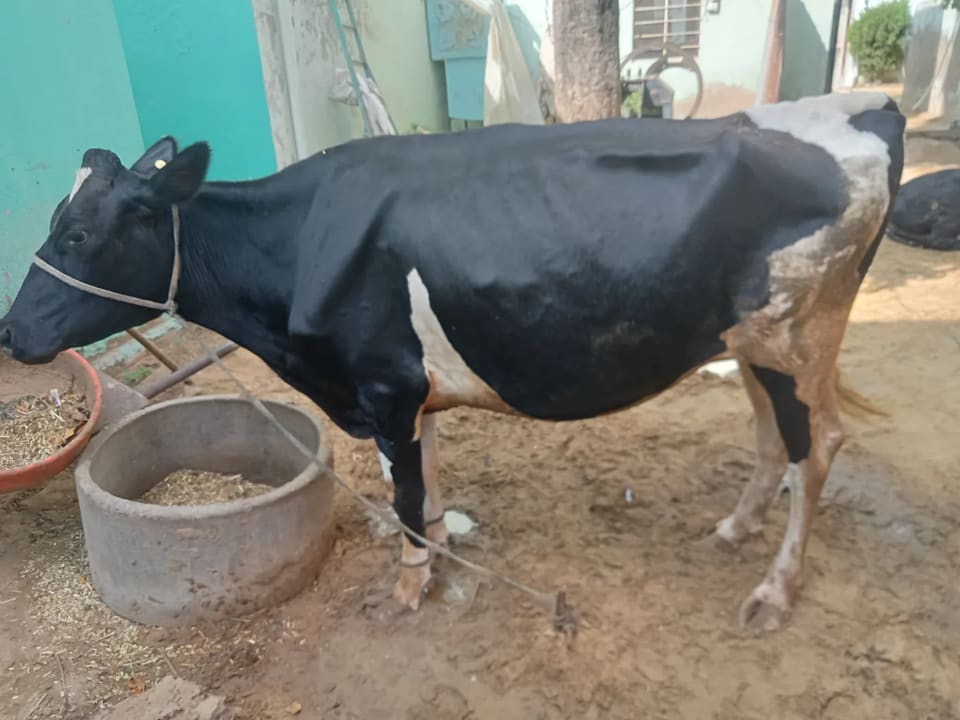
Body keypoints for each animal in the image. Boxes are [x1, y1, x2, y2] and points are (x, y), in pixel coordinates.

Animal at [0, 92, 905, 632]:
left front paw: (409, 585)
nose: (10, 333)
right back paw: (732, 531)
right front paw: (436, 552)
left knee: (817, 446)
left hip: (799, 336)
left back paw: (775, 589)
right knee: (771, 436)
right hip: (752, 341)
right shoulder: (408, 394)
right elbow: (426, 483)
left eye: (78, 234)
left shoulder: (385, 383)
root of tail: (858, 105)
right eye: (56, 220)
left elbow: (403, 490)